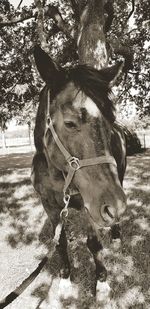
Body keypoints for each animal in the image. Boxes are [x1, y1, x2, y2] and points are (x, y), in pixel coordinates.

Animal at [31, 45, 126, 282]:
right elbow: (60, 242)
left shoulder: (88, 204)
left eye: (109, 122)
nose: (115, 206)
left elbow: (94, 243)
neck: (57, 175)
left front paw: (101, 278)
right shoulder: (50, 206)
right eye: (70, 123)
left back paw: (116, 235)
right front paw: (65, 274)